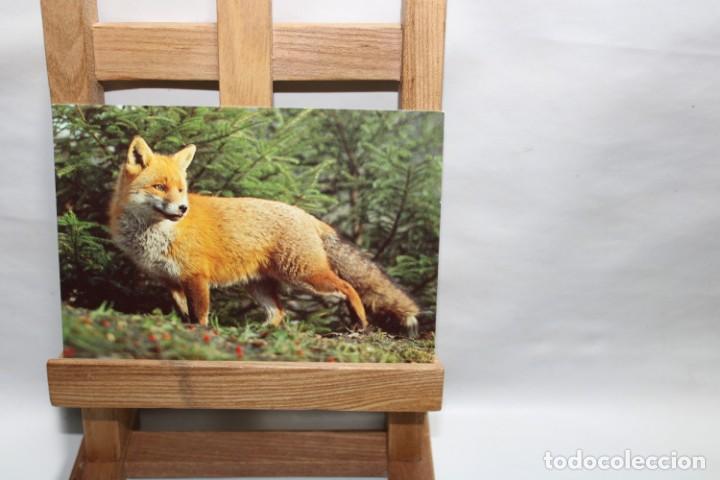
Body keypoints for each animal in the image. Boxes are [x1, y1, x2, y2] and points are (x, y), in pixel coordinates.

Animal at [109, 136, 420, 336]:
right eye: (160, 187)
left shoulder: (197, 277)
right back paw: (261, 332)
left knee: (349, 287)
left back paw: (360, 322)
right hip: (260, 286)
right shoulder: (171, 281)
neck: (155, 235)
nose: (183, 209)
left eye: (181, 189)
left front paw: (201, 332)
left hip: (304, 277)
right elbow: (185, 314)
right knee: (279, 314)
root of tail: (303, 213)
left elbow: (200, 316)